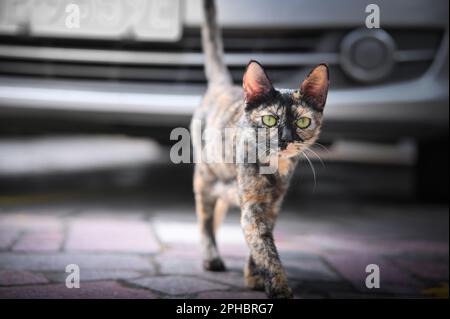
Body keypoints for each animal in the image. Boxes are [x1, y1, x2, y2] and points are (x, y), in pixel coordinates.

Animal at [191, 0, 330, 300]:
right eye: (269, 120)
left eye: (302, 122)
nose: (286, 138)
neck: (275, 169)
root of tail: (222, 86)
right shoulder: (253, 207)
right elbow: (265, 247)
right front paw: (279, 287)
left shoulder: (273, 206)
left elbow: (259, 246)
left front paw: (254, 277)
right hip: (205, 178)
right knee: (205, 219)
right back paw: (211, 256)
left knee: (217, 212)